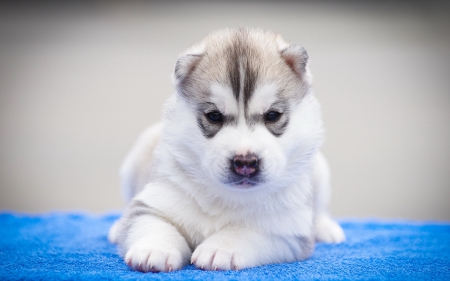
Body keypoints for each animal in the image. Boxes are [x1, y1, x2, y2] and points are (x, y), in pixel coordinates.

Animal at [110, 28, 344, 272]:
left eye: (272, 115)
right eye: (214, 116)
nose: (245, 163)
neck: (227, 197)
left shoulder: (287, 229)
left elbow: (247, 230)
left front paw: (221, 248)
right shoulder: (155, 201)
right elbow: (151, 222)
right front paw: (154, 249)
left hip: (320, 170)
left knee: (320, 207)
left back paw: (326, 228)